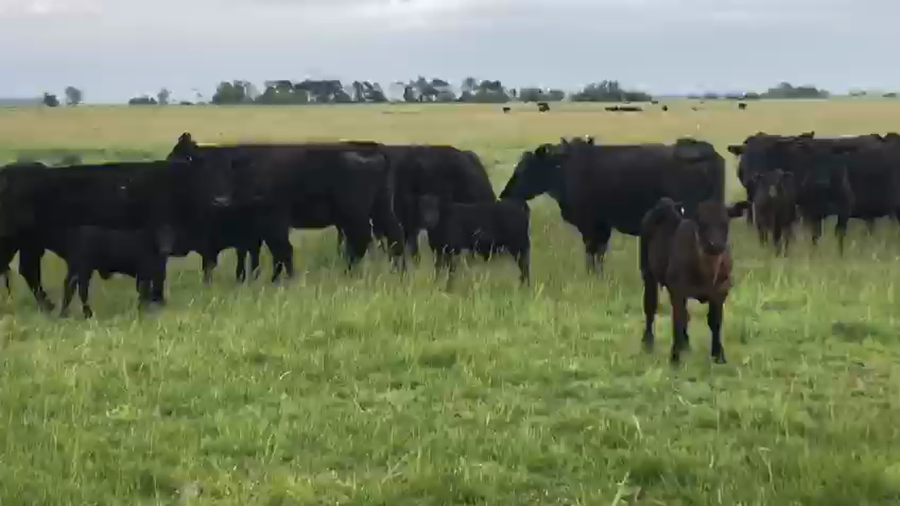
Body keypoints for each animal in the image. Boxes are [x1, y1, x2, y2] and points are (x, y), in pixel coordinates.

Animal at [499, 136, 726, 272]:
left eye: (522, 170)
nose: (504, 194)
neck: (564, 168)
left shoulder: (592, 224)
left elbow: (593, 252)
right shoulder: (602, 226)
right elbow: (599, 253)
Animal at [640, 197, 750, 365]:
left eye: (725, 223)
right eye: (701, 223)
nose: (715, 245)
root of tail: (664, 203)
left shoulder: (721, 291)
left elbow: (715, 322)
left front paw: (718, 355)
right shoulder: (677, 290)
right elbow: (677, 320)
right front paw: (675, 357)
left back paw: (685, 345)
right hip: (647, 271)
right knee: (650, 306)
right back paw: (648, 342)